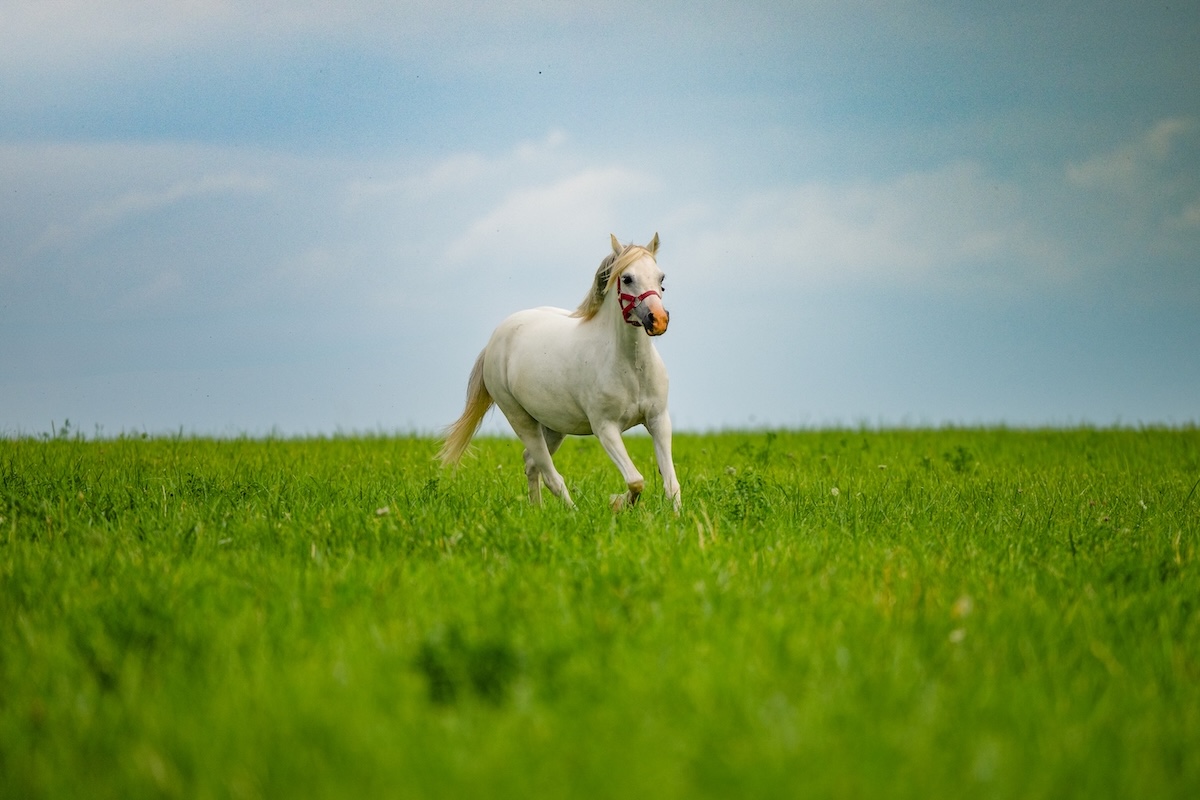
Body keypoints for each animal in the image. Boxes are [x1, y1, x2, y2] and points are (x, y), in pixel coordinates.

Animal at [438, 233, 681, 512]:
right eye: (628, 278)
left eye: (661, 278)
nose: (658, 320)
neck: (631, 368)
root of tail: (494, 341)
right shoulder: (605, 428)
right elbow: (635, 481)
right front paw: (618, 503)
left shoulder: (658, 420)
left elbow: (671, 484)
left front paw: (677, 517)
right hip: (521, 420)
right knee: (550, 474)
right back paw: (572, 512)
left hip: (554, 426)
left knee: (531, 463)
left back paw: (537, 510)